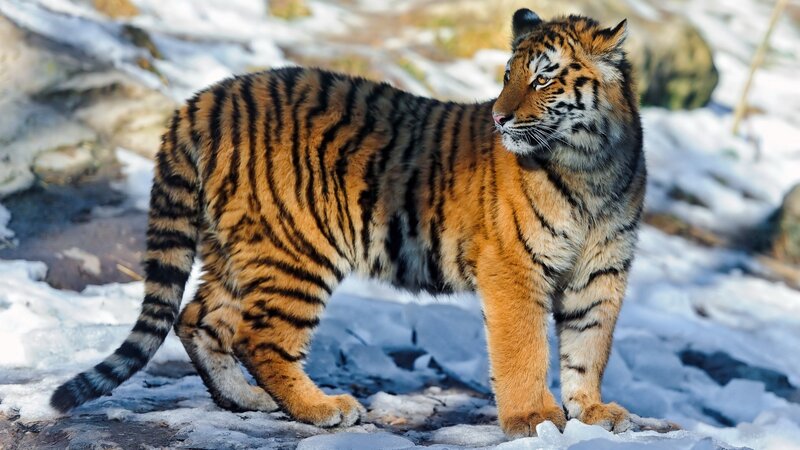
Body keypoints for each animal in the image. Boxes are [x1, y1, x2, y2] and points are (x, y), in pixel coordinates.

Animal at [50, 9, 661, 437]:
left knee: (199, 318)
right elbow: (524, 350)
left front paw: (594, 413)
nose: (499, 117)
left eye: (542, 80)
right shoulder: (514, 267)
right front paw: (533, 419)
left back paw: (245, 401)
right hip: (297, 249)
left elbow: (589, 346)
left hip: (237, 247)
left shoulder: (601, 271)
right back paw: (322, 409)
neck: (592, 166)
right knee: (259, 335)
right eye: (508, 76)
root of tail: (206, 97)